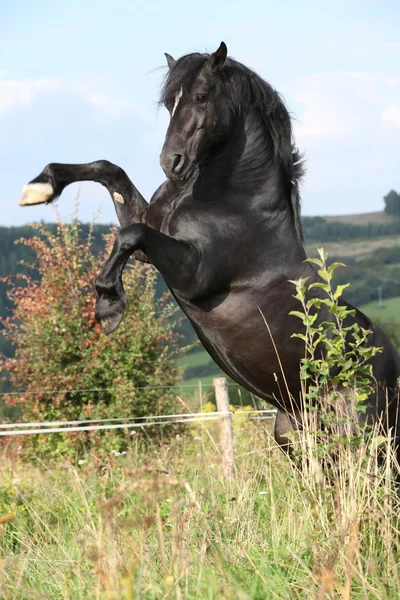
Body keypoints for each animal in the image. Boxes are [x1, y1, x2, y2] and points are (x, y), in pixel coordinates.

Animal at [18, 41, 400, 454]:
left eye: (201, 96)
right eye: (169, 103)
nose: (171, 163)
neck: (233, 198)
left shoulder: (194, 274)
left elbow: (129, 234)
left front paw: (108, 306)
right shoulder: (151, 242)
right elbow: (110, 172)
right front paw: (39, 188)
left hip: (364, 433)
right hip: (295, 434)